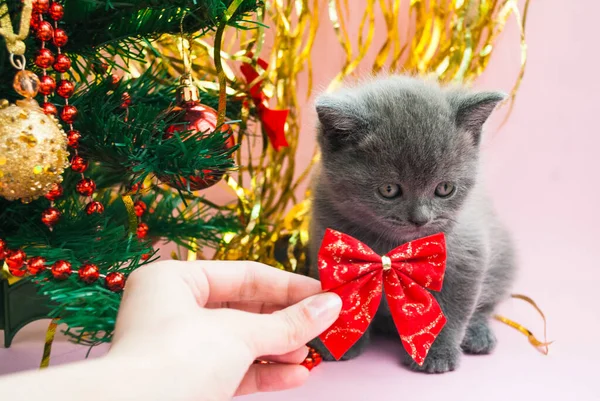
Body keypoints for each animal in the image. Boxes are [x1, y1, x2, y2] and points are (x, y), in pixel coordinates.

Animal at [310, 75, 516, 372]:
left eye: (444, 188)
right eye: (388, 190)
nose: (420, 218)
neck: (393, 247)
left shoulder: (468, 257)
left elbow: (451, 311)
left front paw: (436, 354)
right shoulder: (329, 242)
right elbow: (347, 300)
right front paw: (337, 340)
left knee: (487, 304)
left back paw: (478, 335)